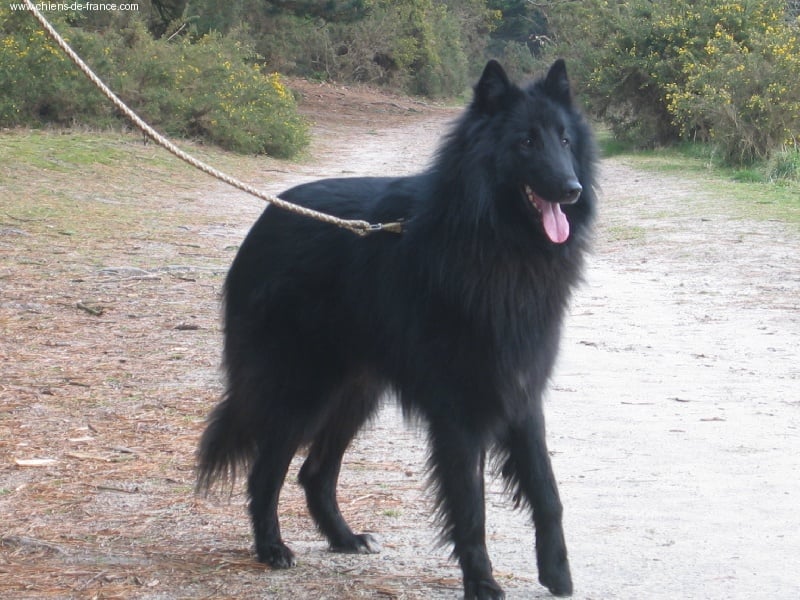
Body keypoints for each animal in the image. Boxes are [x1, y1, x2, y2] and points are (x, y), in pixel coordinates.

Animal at [198, 61, 596, 600]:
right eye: (526, 142)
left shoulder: (521, 394)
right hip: (303, 391)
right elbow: (470, 507)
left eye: (565, 139)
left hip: (354, 395)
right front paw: (482, 582)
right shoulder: (459, 412)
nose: (572, 189)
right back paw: (272, 548)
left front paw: (557, 573)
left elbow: (546, 489)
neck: (491, 239)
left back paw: (344, 538)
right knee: (267, 472)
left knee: (314, 473)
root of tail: (267, 217)